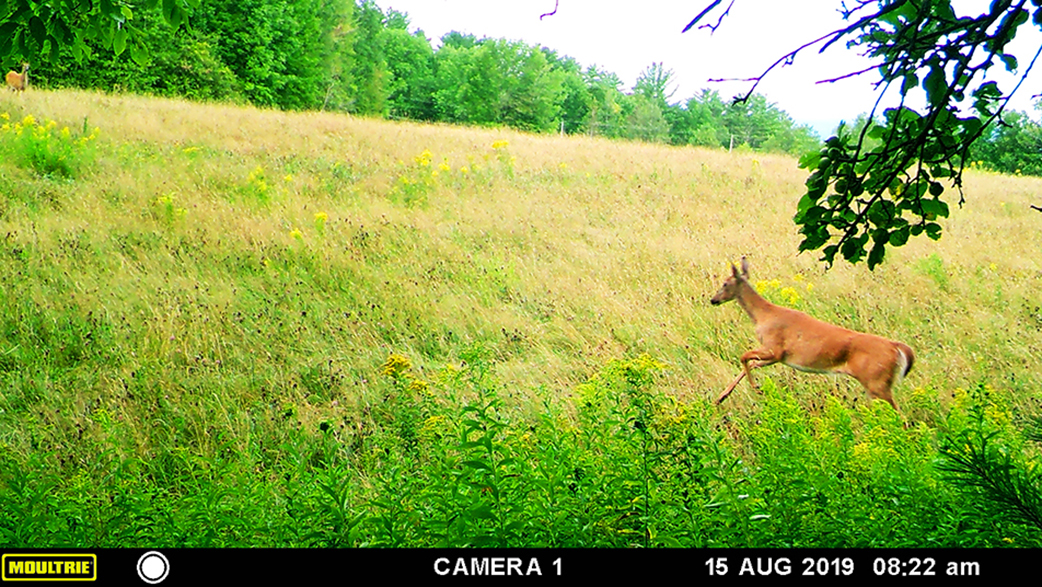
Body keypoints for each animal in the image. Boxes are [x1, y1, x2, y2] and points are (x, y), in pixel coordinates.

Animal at [712, 257, 916, 412]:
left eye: (724, 283)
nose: (713, 299)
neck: (763, 315)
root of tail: (897, 348)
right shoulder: (778, 357)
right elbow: (752, 363)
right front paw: (721, 397)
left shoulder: (774, 348)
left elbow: (744, 356)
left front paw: (756, 388)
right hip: (877, 384)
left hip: (877, 381)